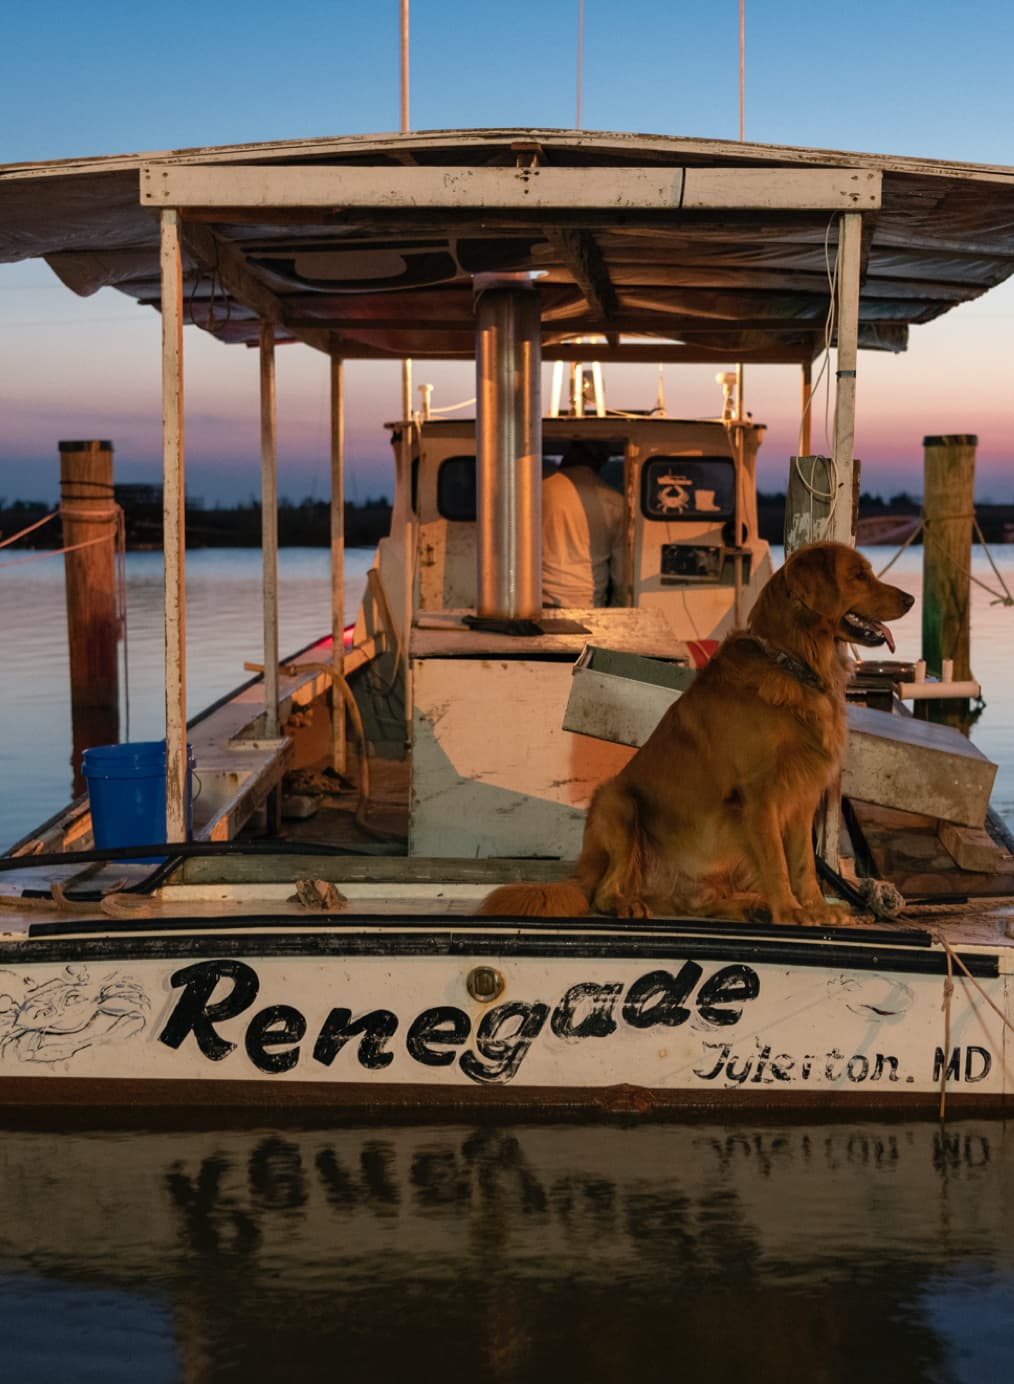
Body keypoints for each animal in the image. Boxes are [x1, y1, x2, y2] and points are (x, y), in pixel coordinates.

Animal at [481, 542, 914, 926]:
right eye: (859, 575)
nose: (910, 598)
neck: (793, 663)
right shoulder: (759, 795)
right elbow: (777, 861)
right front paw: (790, 912)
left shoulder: (802, 797)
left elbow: (804, 862)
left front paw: (817, 909)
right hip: (616, 803)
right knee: (602, 893)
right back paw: (627, 904)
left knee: (696, 903)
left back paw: (749, 906)